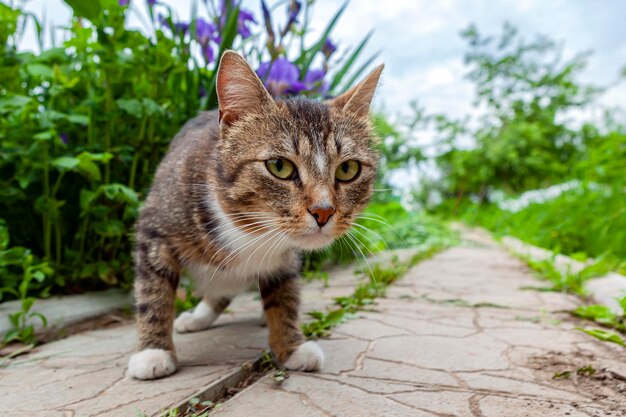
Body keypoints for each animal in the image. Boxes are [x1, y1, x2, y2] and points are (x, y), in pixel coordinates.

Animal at [127, 50, 380, 378]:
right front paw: (152, 352)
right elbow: (153, 291)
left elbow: (284, 296)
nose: (324, 211)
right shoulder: (154, 228)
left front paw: (292, 346)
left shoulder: (285, 259)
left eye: (348, 169)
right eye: (279, 166)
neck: (250, 231)